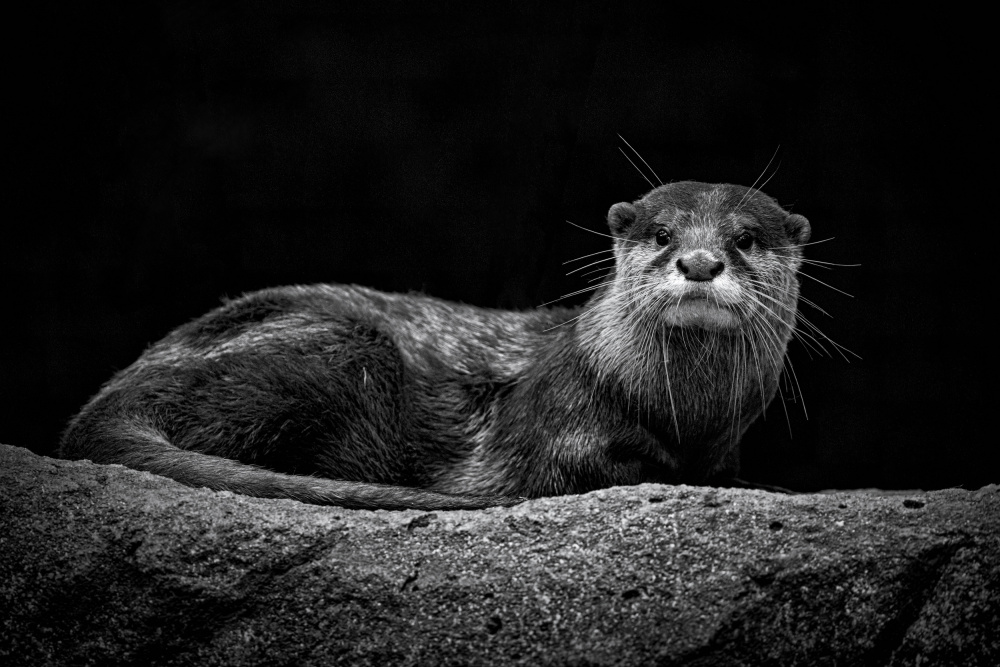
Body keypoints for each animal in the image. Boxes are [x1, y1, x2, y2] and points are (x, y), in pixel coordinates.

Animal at [60, 181, 811, 510]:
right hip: (339, 349)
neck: (685, 412)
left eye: (746, 238)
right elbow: (590, 468)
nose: (700, 261)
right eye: (661, 233)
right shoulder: (555, 418)